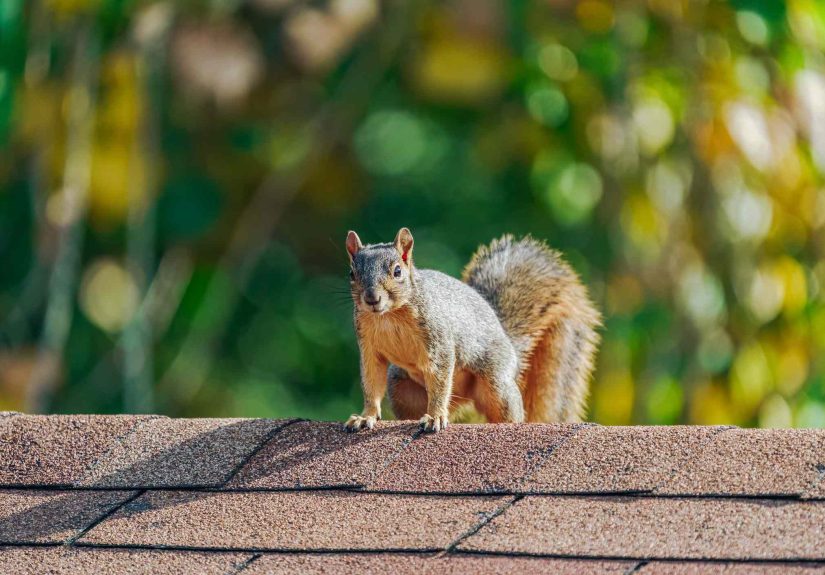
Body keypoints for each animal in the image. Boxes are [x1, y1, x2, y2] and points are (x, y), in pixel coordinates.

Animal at [344, 227, 601, 432]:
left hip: (496, 383)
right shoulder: (369, 347)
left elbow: (440, 378)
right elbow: (371, 382)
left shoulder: (439, 339)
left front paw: (435, 417)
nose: (372, 299)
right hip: (402, 389)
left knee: (506, 409)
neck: (389, 316)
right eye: (352, 273)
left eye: (397, 271)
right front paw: (366, 417)